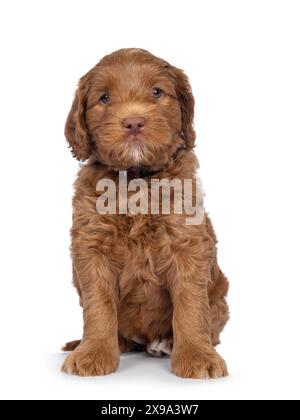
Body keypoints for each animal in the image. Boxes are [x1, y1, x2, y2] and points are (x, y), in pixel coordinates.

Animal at [61, 47, 230, 378]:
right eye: (104, 98)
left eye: (157, 92)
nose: (134, 122)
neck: (136, 180)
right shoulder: (92, 246)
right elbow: (98, 305)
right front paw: (94, 352)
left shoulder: (187, 244)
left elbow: (191, 306)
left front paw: (197, 357)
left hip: (220, 298)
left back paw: (166, 344)